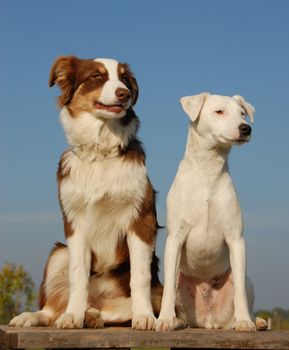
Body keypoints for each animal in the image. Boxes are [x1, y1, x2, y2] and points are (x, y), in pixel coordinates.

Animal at [8, 56, 162, 330]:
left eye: (124, 79)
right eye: (96, 77)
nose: (123, 94)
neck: (100, 152)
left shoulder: (141, 218)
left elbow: (140, 277)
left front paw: (144, 316)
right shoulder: (75, 223)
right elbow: (77, 276)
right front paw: (73, 316)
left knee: (121, 308)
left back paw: (95, 315)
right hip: (59, 252)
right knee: (52, 310)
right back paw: (40, 316)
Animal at [156, 92, 266, 330]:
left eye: (242, 114)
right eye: (219, 111)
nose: (246, 128)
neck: (208, 171)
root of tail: (209, 320)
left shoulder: (236, 239)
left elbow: (240, 294)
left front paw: (245, 322)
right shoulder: (175, 238)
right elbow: (168, 289)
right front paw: (165, 319)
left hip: (247, 281)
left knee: (244, 294)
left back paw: (255, 321)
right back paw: (178, 321)